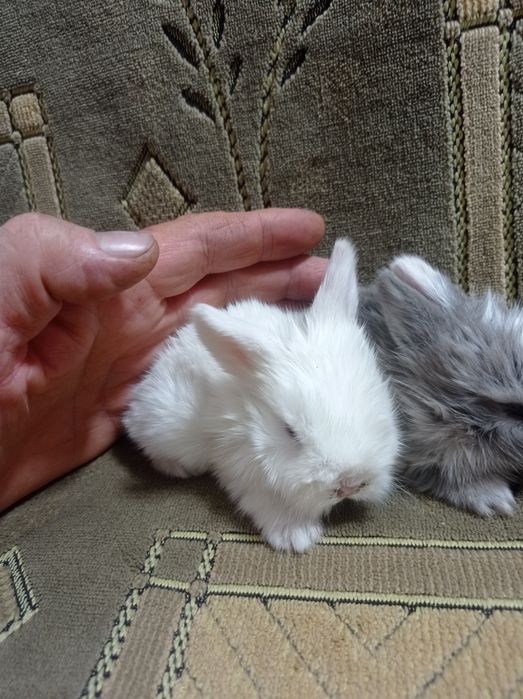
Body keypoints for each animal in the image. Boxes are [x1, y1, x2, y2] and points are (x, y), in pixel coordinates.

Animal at [123, 239, 400, 553]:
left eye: (382, 404)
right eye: (290, 432)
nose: (350, 483)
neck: (249, 415)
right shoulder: (238, 462)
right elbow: (264, 499)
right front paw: (296, 535)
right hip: (165, 426)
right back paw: (179, 468)